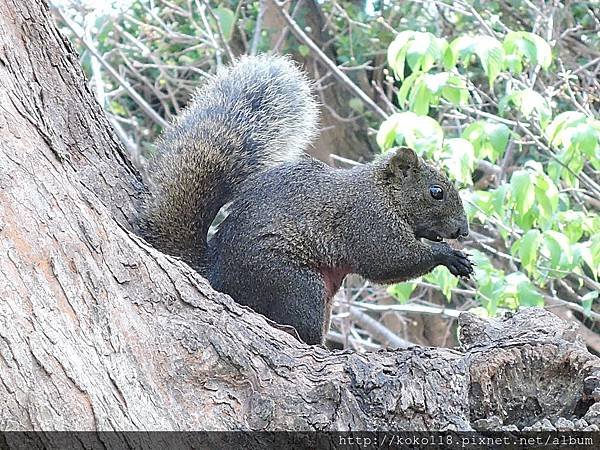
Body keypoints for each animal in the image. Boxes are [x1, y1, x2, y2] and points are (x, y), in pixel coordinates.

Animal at [141, 54, 474, 346]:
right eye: (436, 192)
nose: (464, 231)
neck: (383, 193)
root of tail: (216, 276)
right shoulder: (367, 220)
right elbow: (389, 259)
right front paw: (448, 256)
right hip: (295, 285)